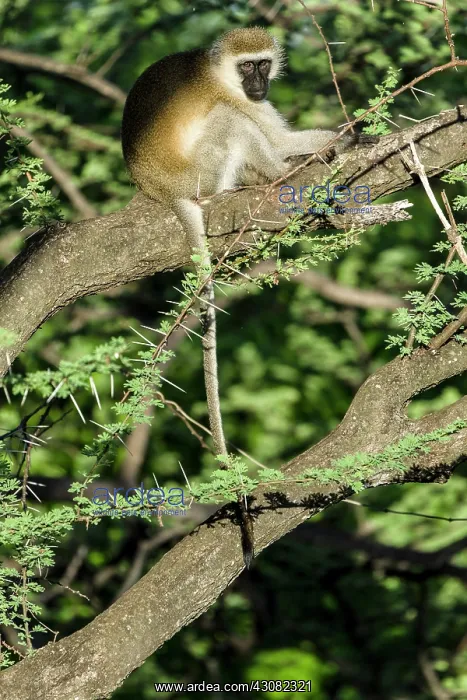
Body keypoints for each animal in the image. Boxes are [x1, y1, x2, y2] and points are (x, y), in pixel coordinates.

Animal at [121, 27, 377, 568]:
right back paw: (281, 170)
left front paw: (351, 136)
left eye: (263, 65)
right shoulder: (231, 96)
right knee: (234, 125)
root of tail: (163, 192)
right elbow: (265, 131)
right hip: (203, 171)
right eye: (247, 68)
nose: (259, 84)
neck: (216, 71)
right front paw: (325, 147)